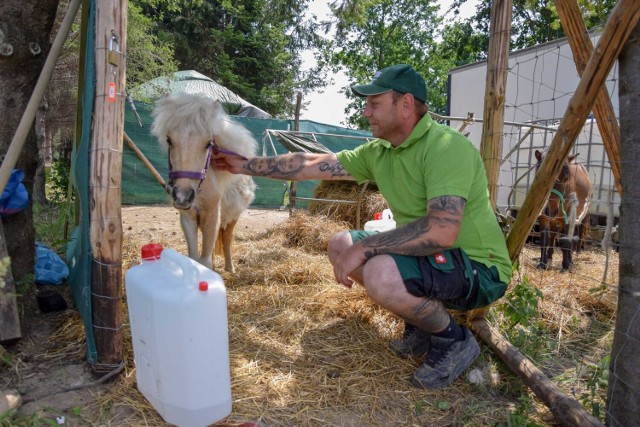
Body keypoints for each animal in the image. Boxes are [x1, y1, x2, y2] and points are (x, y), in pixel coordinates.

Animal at [150, 95, 258, 272]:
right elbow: (196, 257)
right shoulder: (188, 218)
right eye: (169, 140)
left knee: (227, 239)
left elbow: (206, 259)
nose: (183, 196)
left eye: (208, 143)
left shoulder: (212, 217)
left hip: (232, 216)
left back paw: (230, 268)